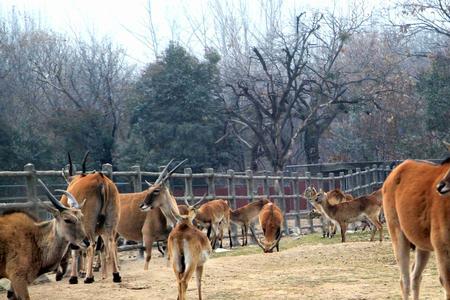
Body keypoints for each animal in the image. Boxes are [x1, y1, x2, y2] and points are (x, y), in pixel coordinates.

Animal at [62, 152, 121, 284]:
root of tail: (101, 178)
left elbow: (76, 250)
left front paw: (75, 276)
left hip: (88, 224)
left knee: (91, 246)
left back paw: (89, 277)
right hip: (110, 223)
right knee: (110, 243)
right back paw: (115, 275)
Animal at [382, 158, 450, 298]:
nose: (440, 186)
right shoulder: (442, 248)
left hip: (422, 246)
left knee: (415, 277)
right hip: (398, 234)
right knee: (405, 280)